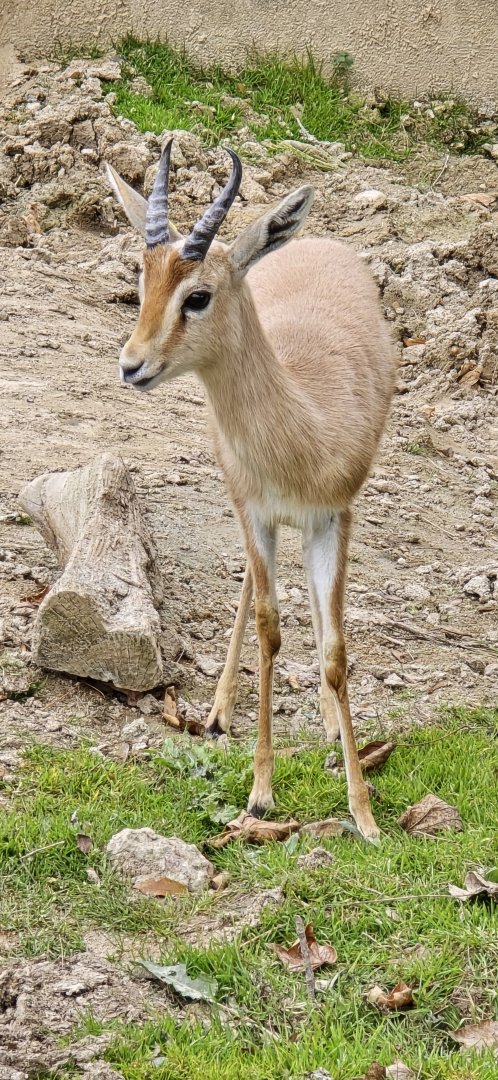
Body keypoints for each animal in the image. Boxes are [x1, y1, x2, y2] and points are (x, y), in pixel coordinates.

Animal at [106, 139, 396, 840]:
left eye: (198, 295)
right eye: (143, 281)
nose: (132, 365)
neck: (303, 422)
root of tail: (312, 242)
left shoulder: (334, 517)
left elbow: (336, 648)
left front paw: (363, 812)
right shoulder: (255, 511)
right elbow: (268, 628)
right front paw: (261, 795)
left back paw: (325, 722)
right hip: (245, 509)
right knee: (249, 589)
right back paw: (216, 713)